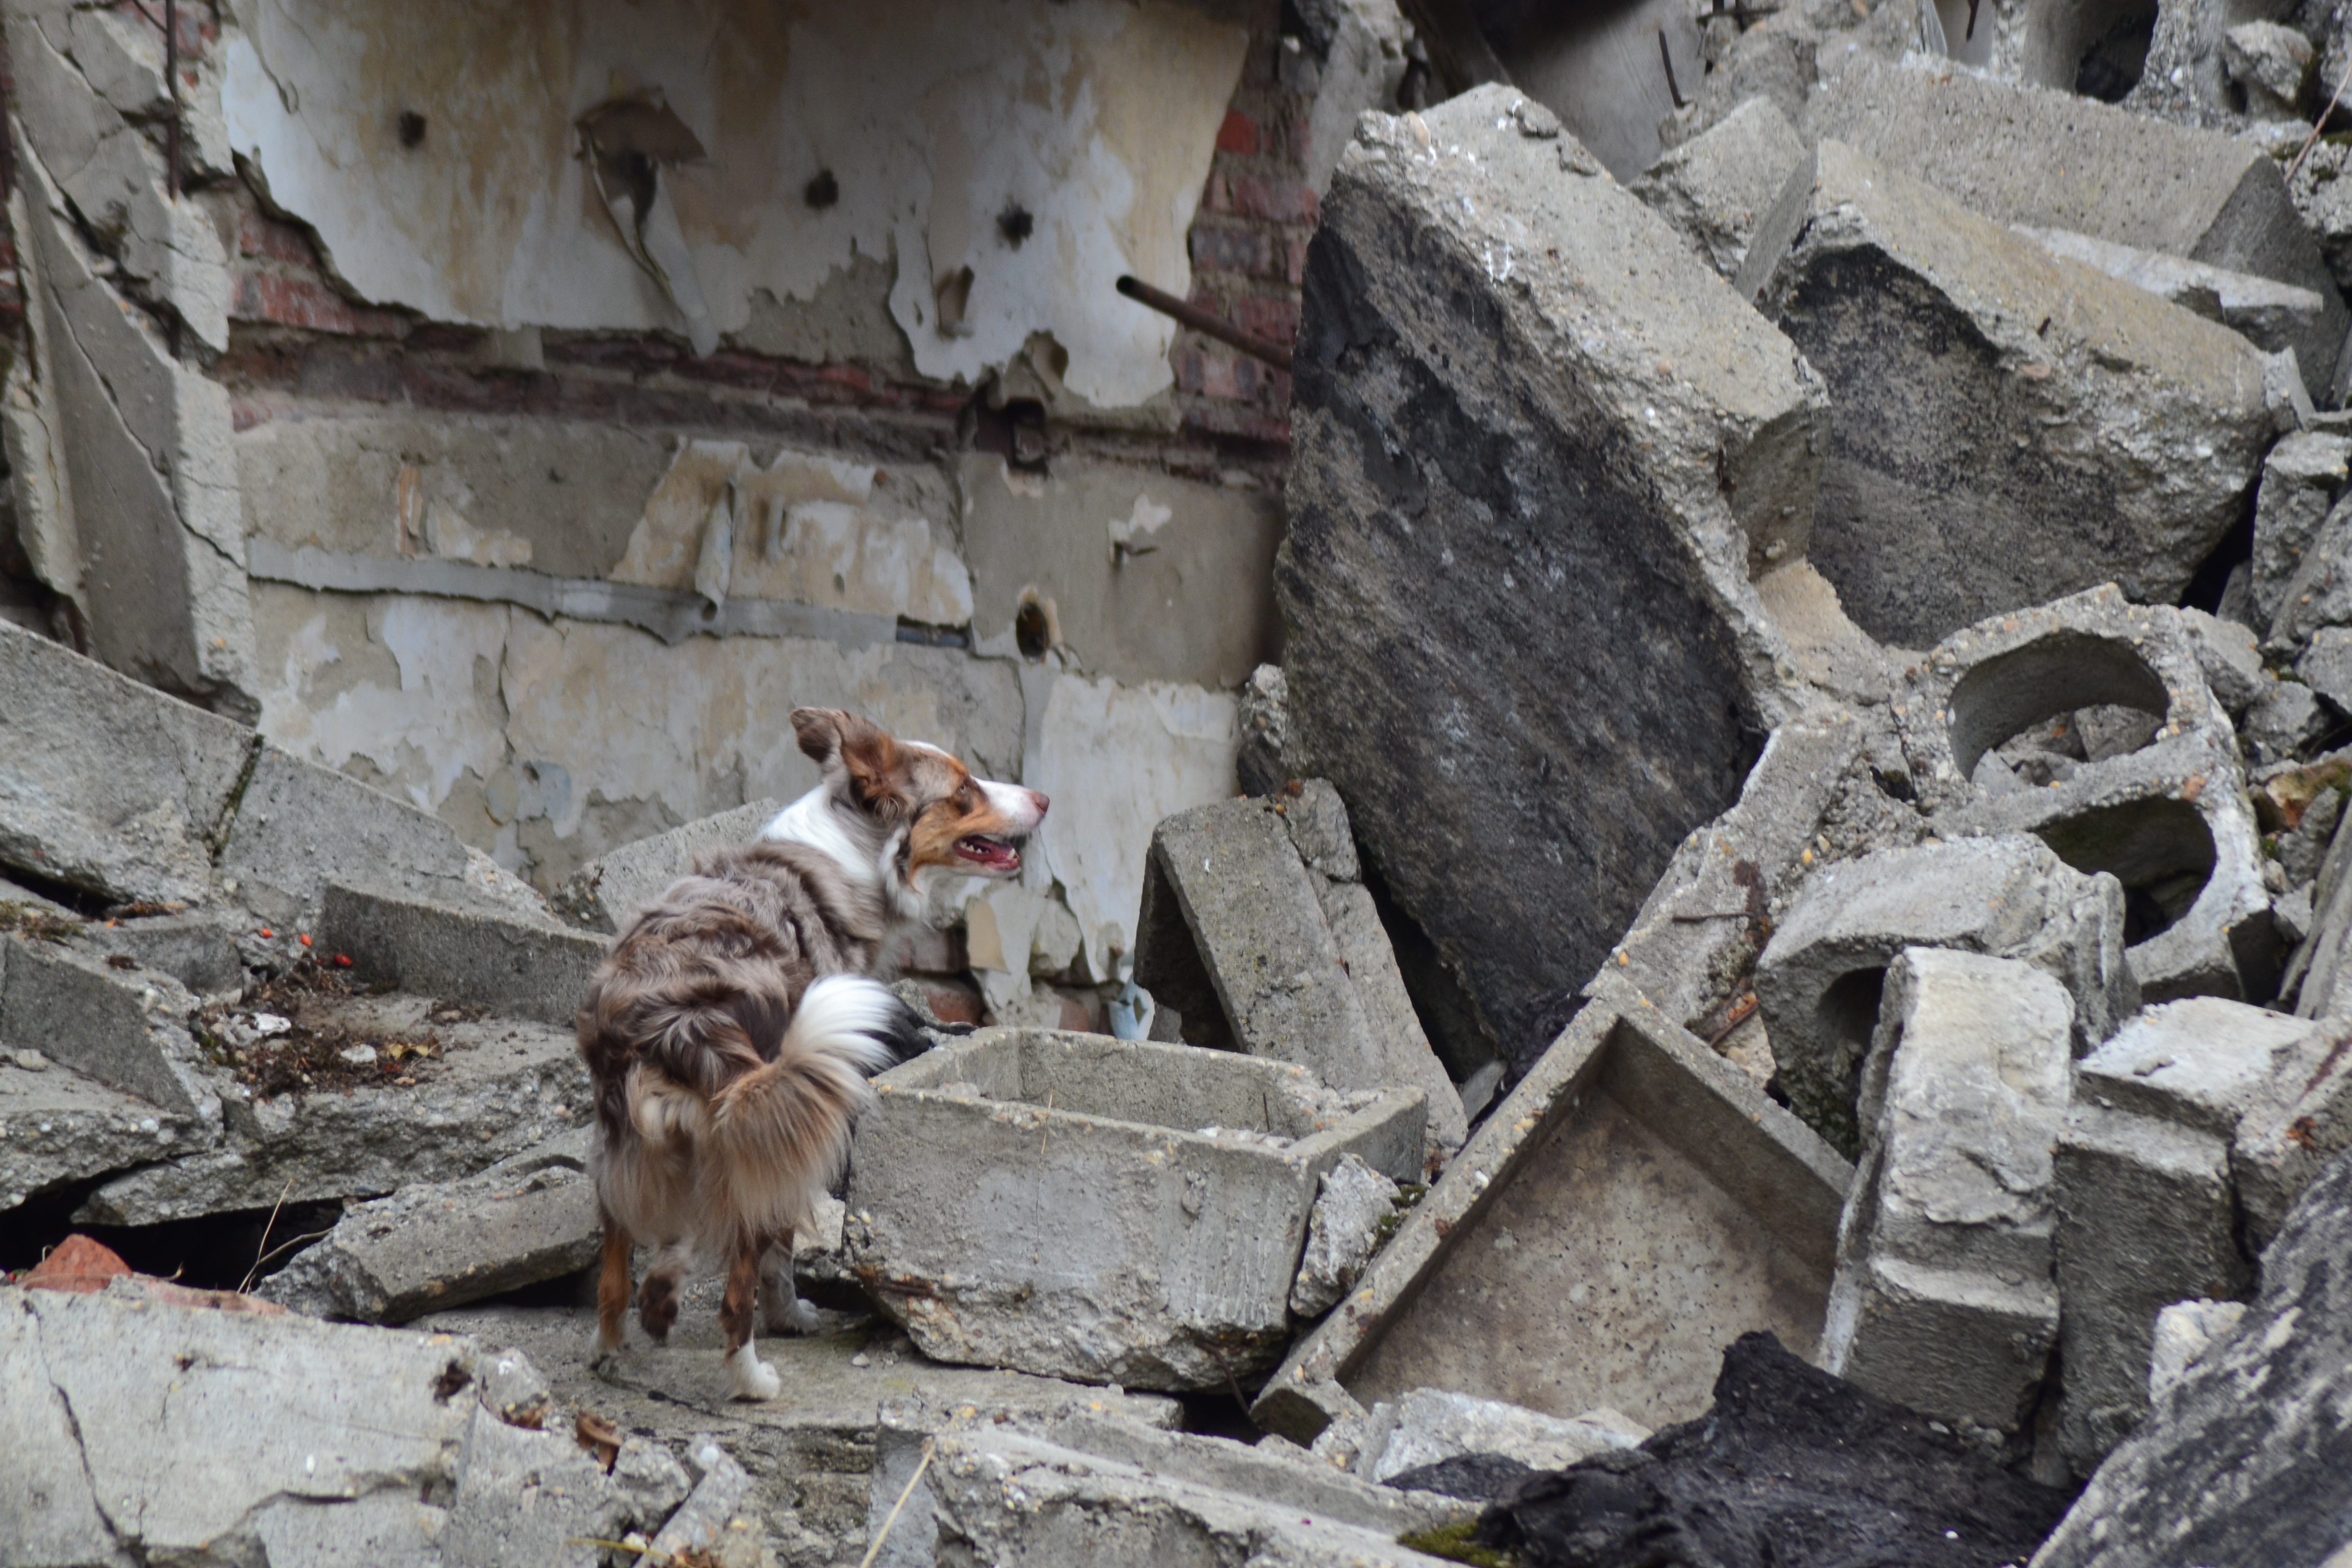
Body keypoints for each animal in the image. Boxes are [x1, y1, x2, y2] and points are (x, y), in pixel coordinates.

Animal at [574, 705, 1044, 1401]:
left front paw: (665, 1294)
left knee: (611, 1271)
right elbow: (778, 1251)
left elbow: (688, 1240)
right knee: (735, 1289)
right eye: (963, 790)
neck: (855, 850)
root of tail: (675, 1019)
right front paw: (788, 1317)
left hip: (624, 1143)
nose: (1044, 798)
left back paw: (611, 1345)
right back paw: (752, 1379)